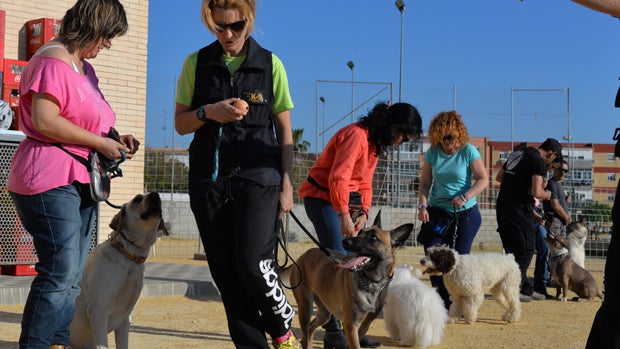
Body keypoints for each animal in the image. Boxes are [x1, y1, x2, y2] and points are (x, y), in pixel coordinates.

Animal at [280, 211, 412, 348]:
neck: (372, 283)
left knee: (311, 329)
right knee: (305, 333)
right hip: (305, 308)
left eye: (373, 238)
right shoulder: (351, 325)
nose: (345, 241)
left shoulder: (364, 325)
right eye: (360, 233)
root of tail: (301, 257)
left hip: (325, 313)